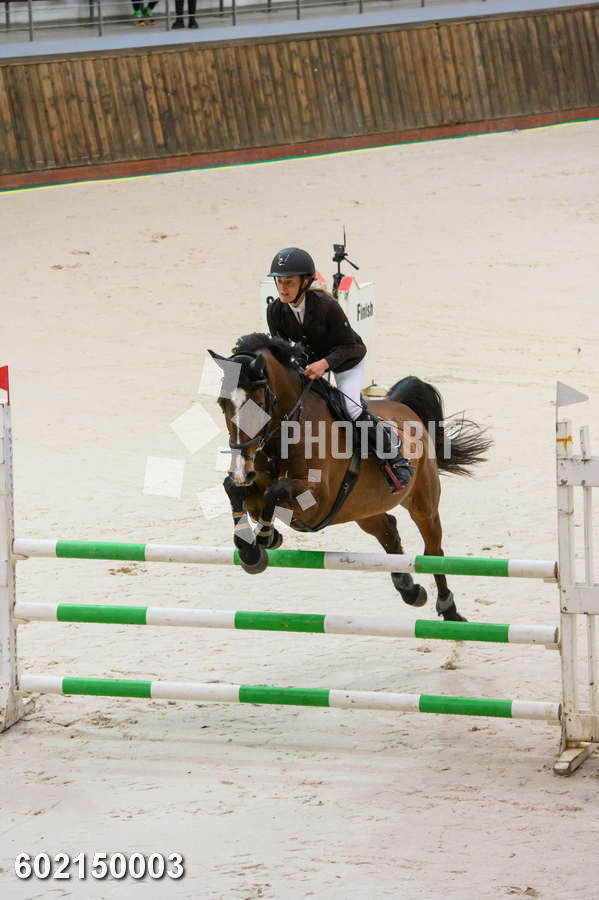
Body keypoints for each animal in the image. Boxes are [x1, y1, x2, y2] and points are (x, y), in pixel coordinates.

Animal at [209, 333, 492, 622]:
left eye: (257, 405)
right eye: (221, 403)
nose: (242, 469)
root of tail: (402, 405)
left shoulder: (317, 501)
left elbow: (274, 491)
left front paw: (265, 538)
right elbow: (236, 490)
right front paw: (252, 548)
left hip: (423, 503)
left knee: (433, 550)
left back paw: (449, 610)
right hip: (362, 508)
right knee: (389, 531)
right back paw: (410, 590)